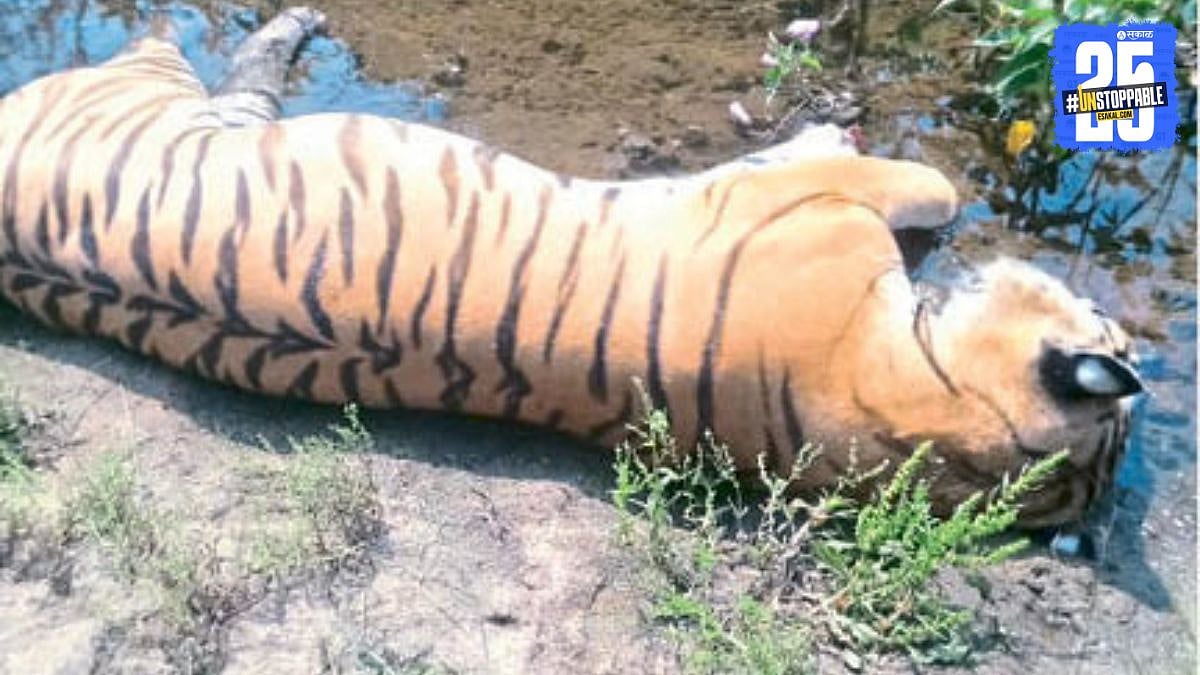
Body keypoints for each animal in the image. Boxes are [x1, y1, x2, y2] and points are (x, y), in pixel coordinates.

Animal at [0, 7, 1143, 527]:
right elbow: (920, 180)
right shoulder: (819, 200)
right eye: (1110, 323)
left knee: (207, 63)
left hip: (176, 103)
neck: (931, 410)